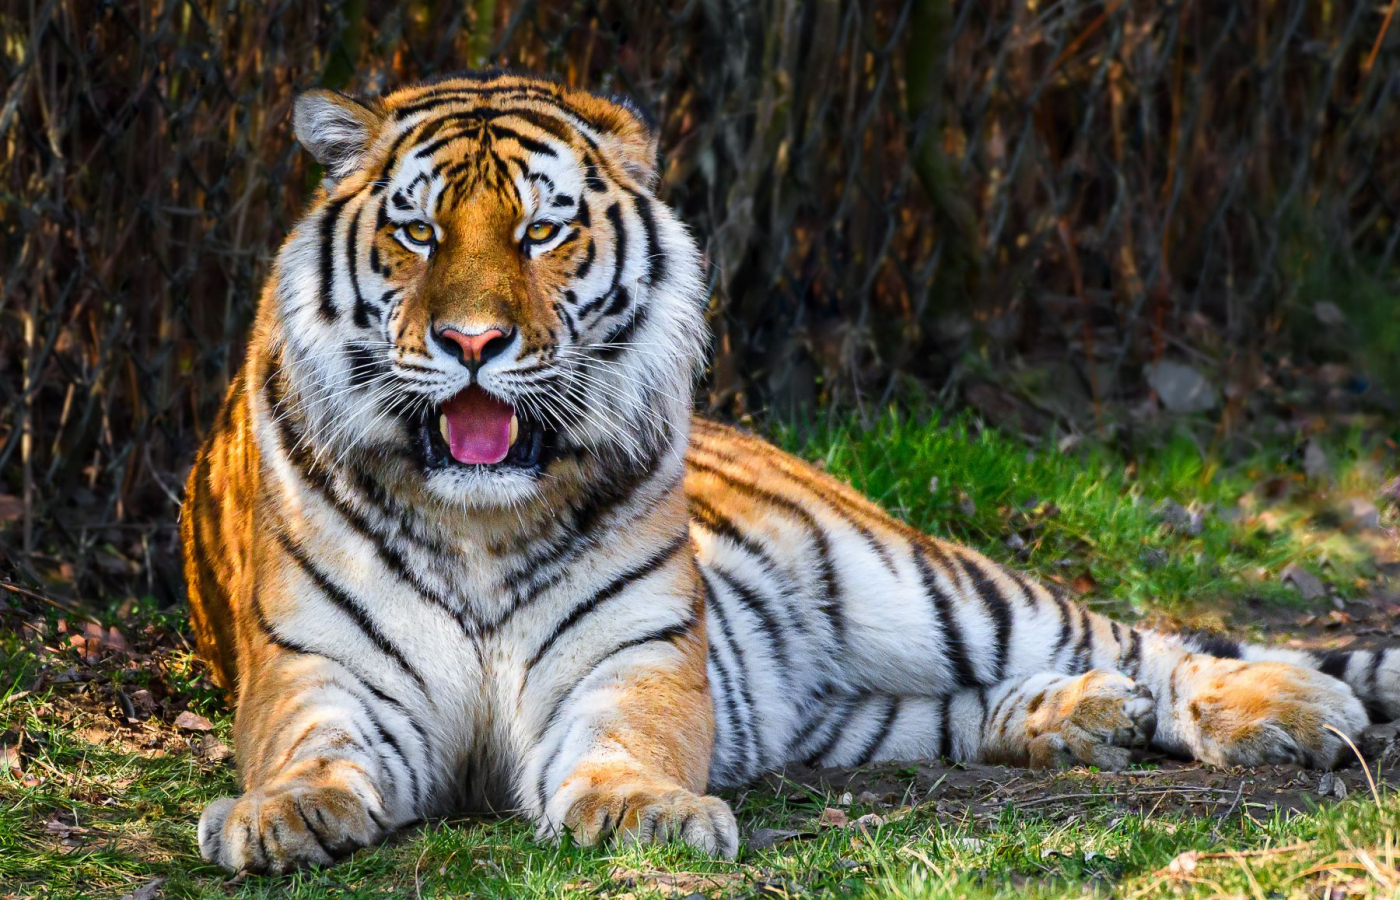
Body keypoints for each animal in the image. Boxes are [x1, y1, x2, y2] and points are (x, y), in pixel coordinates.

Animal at [181, 71, 1400, 874]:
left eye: (540, 233)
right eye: (419, 233)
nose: (472, 341)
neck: (479, 521)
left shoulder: (633, 658)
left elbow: (623, 742)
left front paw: (643, 812)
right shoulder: (318, 669)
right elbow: (310, 747)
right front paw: (279, 816)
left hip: (919, 586)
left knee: (1147, 641)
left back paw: (1290, 708)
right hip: (835, 703)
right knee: (957, 709)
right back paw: (1079, 719)